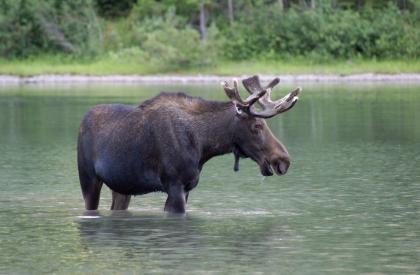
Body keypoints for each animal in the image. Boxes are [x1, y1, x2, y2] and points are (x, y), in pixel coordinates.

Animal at [77, 76, 300, 216]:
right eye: (257, 126)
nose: (283, 159)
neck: (204, 144)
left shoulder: (188, 188)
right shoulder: (175, 185)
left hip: (123, 186)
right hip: (89, 179)